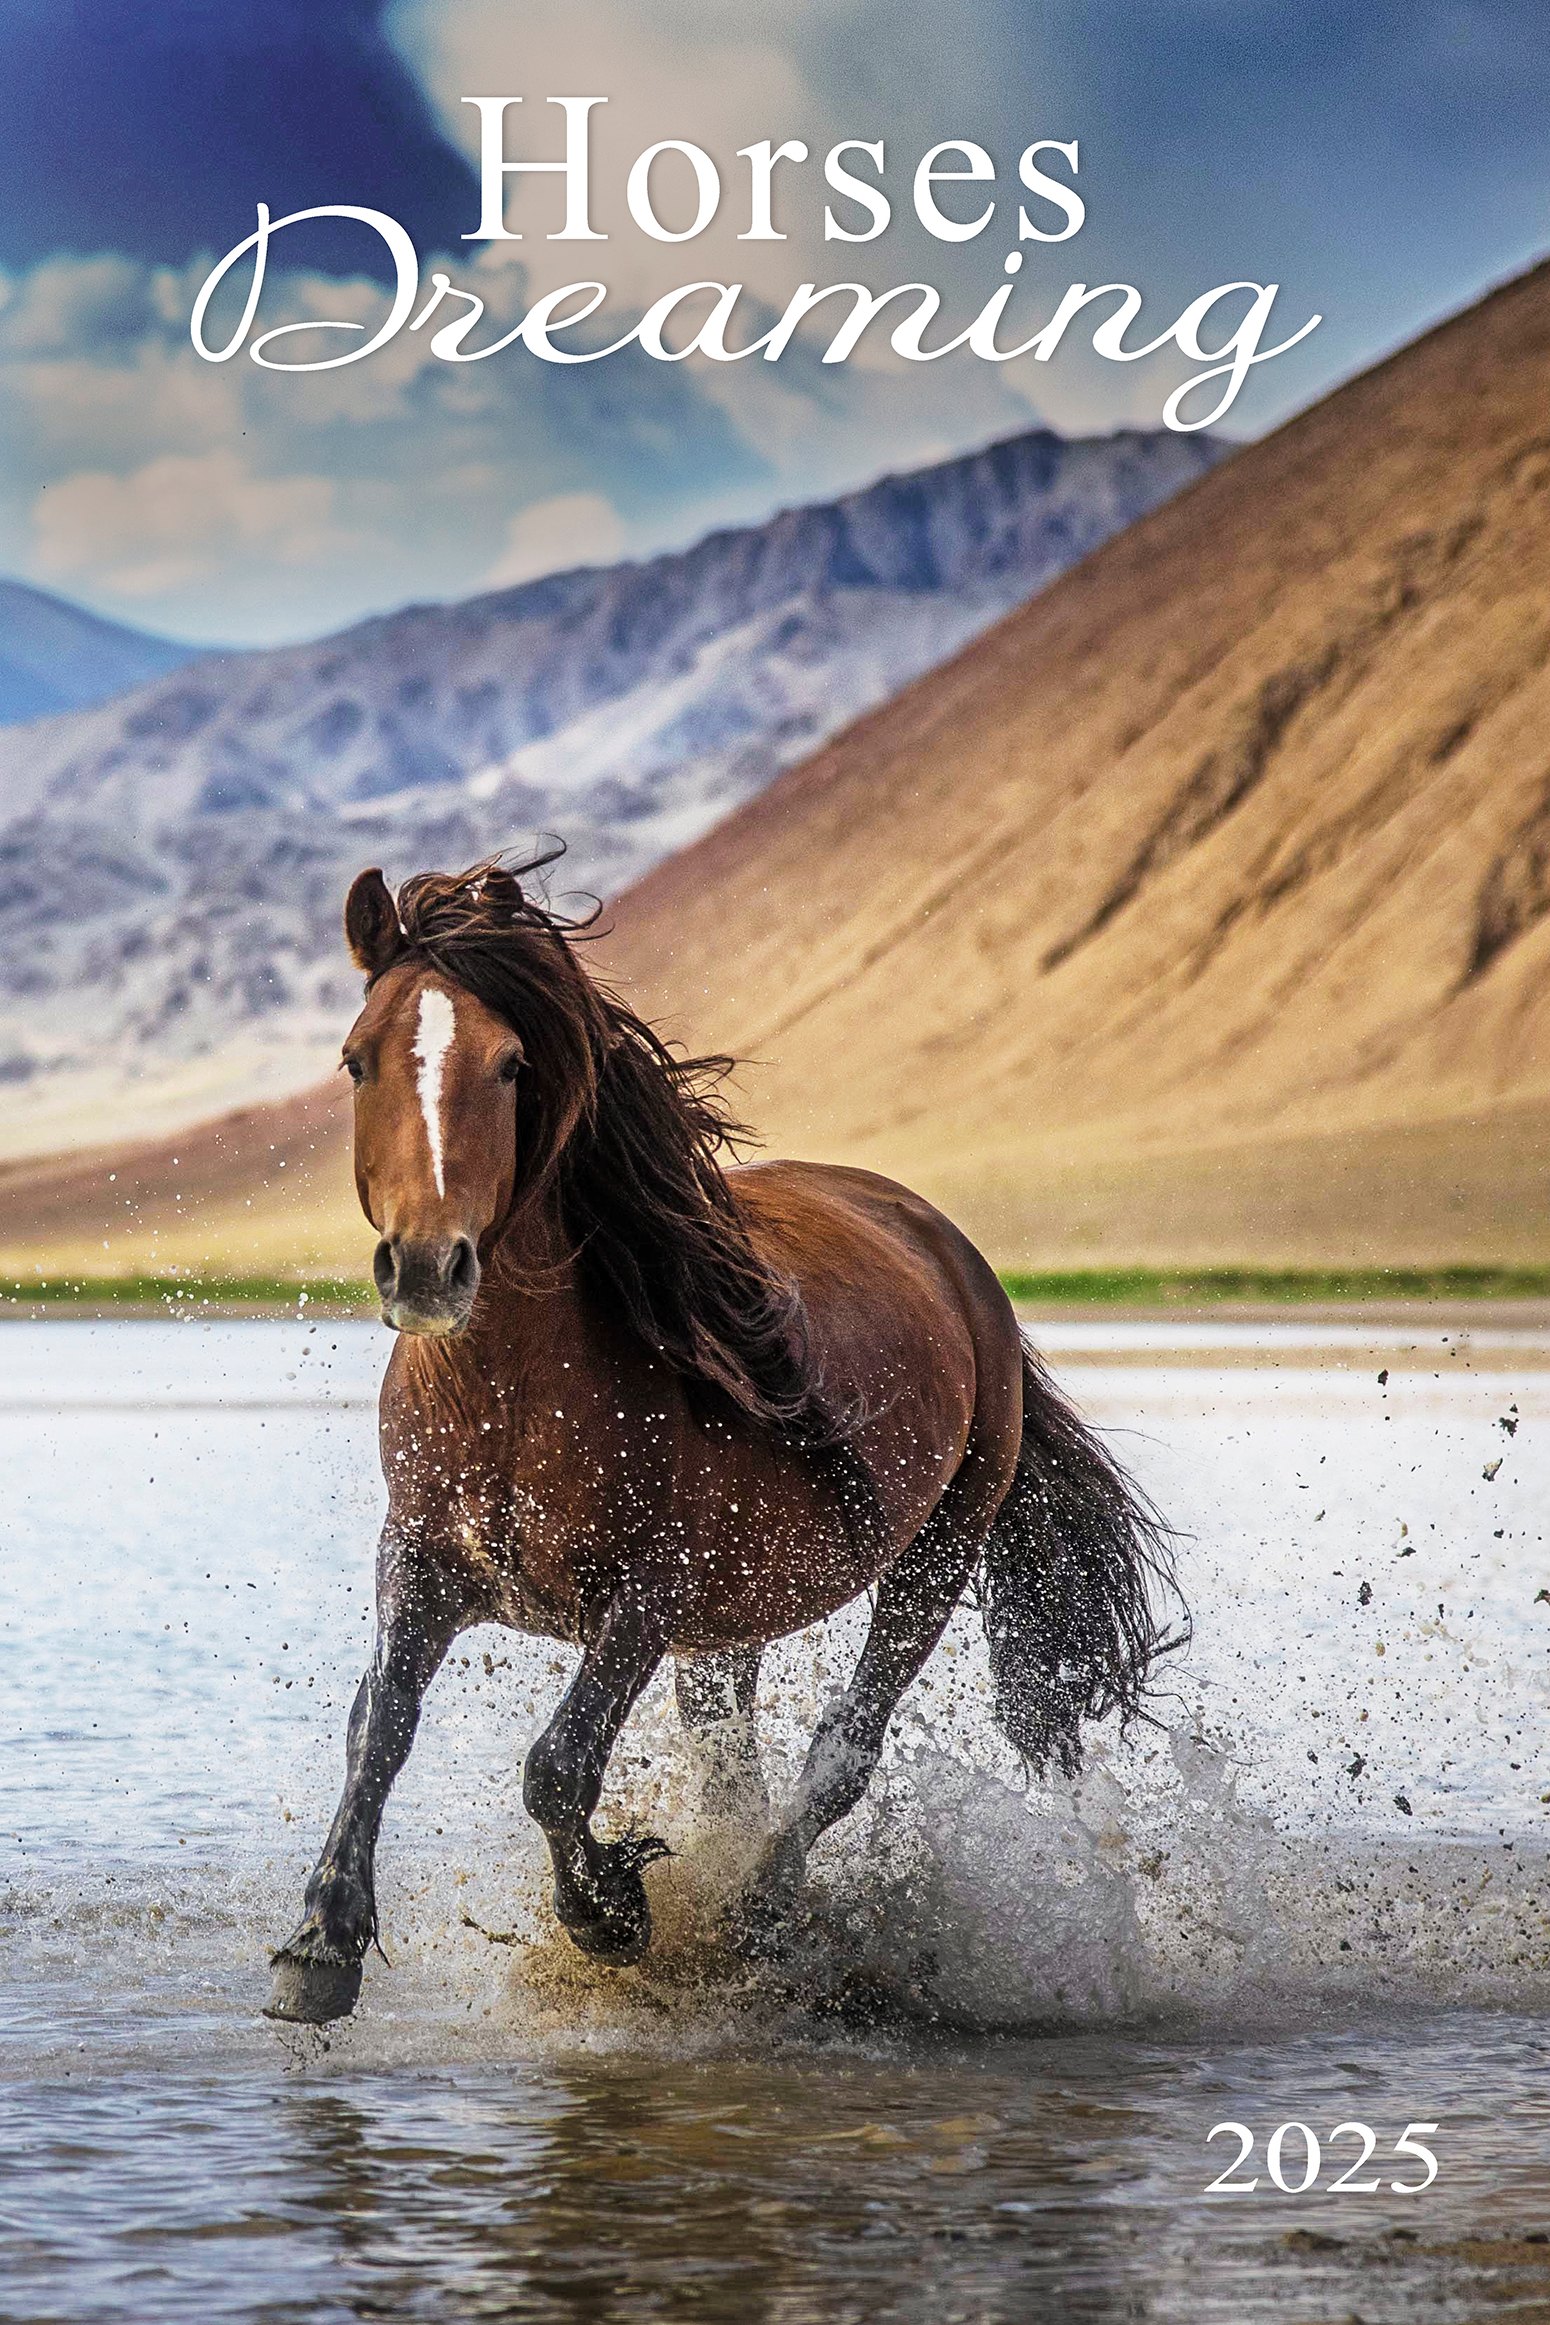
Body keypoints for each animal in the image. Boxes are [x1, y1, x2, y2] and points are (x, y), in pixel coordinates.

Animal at [266, 857, 1179, 2025]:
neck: (511, 1401)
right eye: (357, 1059)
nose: (427, 1267)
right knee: (728, 1756)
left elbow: (557, 1765)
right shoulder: (422, 1560)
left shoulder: (648, 1593)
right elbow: (376, 1723)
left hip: (932, 1557)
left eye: (512, 1065)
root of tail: (953, 1254)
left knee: (843, 1748)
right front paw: (319, 1944)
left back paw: (760, 1915)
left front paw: (610, 1912)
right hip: (729, 1626)